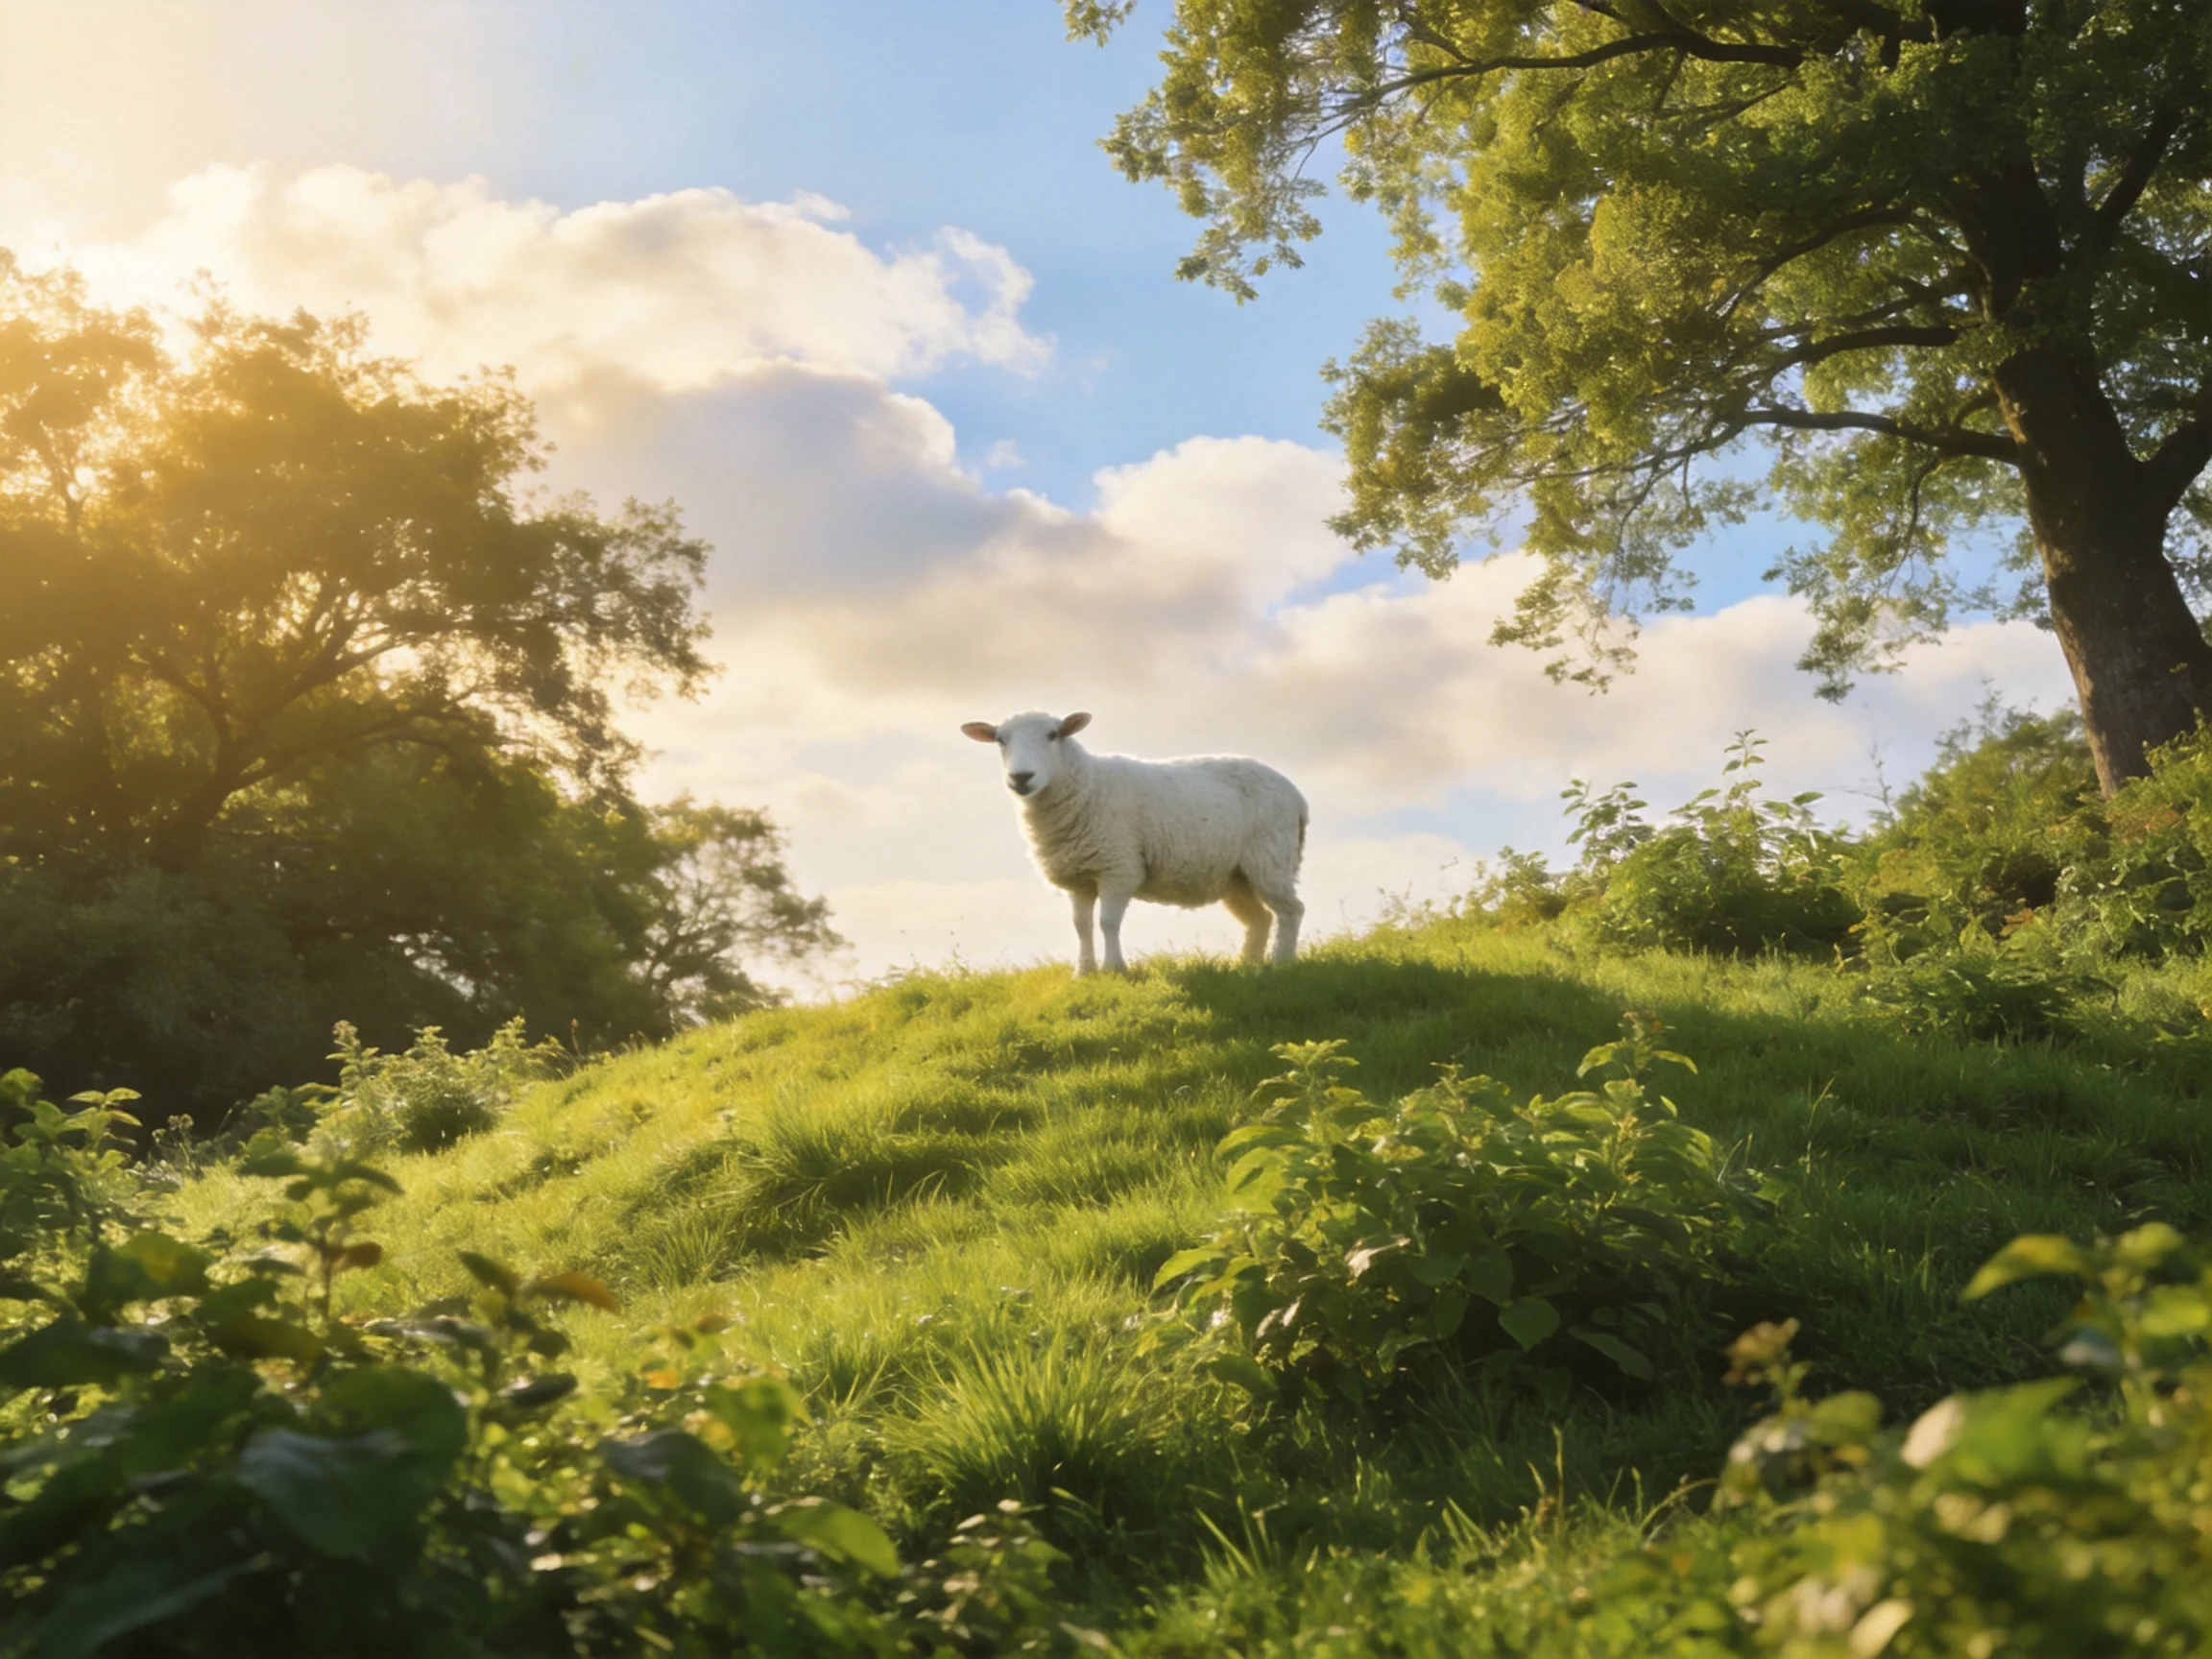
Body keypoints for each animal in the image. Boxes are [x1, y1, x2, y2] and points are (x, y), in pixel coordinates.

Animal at [960, 710, 1308, 974]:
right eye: (1001, 740)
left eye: (1053, 734)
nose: (1021, 777)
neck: (1086, 784)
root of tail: (1296, 795)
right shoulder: (1078, 877)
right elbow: (1081, 926)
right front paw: (1084, 973)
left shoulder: (1119, 865)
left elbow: (1108, 922)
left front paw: (1115, 969)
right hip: (1235, 875)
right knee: (1260, 919)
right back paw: (1247, 966)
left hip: (1271, 857)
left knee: (1291, 910)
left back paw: (1281, 963)